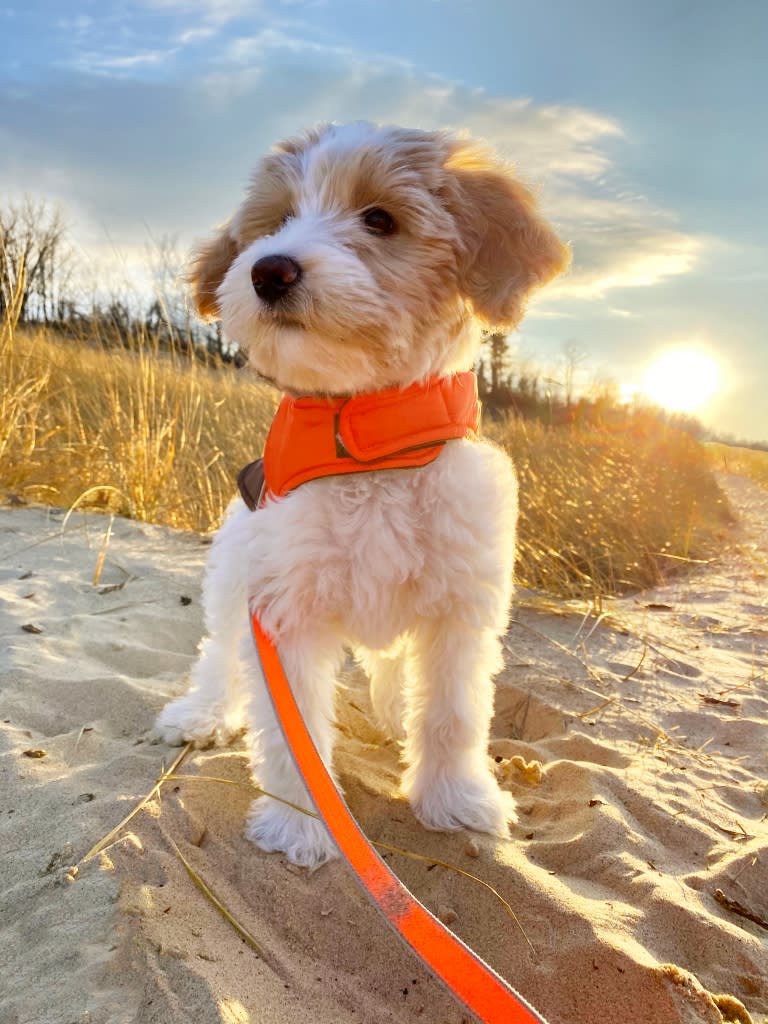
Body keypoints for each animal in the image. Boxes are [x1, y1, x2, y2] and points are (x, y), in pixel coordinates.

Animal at [156, 123, 569, 868]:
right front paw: (300, 825)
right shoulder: (283, 609)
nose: (269, 270)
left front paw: (456, 799)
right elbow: (293, 736)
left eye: (379, 219)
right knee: (219, 650)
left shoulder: (460, 609)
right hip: (234, 572)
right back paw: (201, 712)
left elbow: (452, 713)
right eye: (277, 221)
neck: (367, 442)